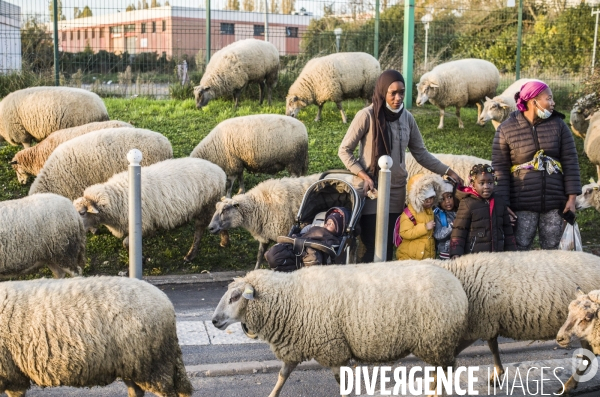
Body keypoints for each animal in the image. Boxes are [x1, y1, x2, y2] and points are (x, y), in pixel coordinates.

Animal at [0, 276, 192, 396]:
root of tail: (165, 300)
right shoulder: (12, 374)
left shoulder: (9, 374)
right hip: (133, 364)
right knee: (136, 391)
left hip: (152, 365)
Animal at [72, 156, 226, 262]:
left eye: (83, 213)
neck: (116, 197)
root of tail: (219, 171)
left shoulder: (143, 225)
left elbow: (126, 243)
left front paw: (141, 258)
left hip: (206, 205)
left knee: (201, 229)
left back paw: (194, 253)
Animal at [211, 262, 468, 396]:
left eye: (235, 297)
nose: (214, 321)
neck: (290, 297)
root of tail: (454, 283)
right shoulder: (295, 347)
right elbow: (282, 376)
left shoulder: (333, 348)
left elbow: (341, 382)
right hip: (434, 342)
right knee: (437, 371)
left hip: (438, 339)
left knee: (446, 369)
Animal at [418, 249, 600, 392]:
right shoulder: (488, 321)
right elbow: (493, 346)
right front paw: (497, 375)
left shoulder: (476, 326)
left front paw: (434, 386)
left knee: (588, 357)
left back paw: (568, 386)